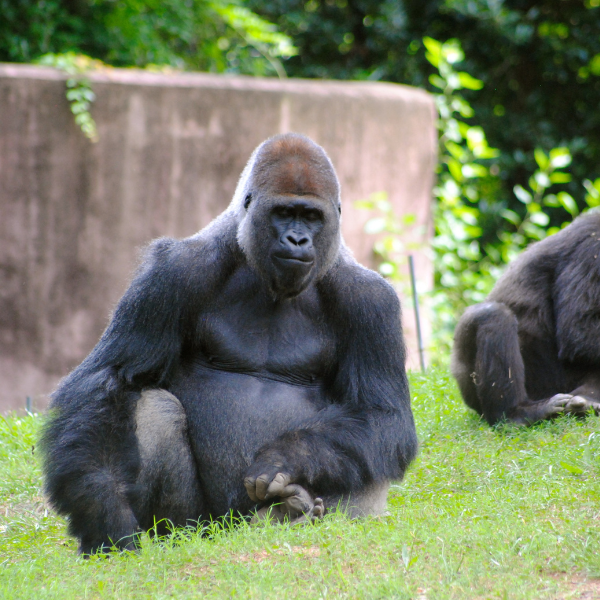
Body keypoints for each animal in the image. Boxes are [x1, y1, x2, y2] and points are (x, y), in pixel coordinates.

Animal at [41, 134, 418, 556]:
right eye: (284, 213)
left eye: (312, 217)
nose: (297, 239)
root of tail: (232, 529)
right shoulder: (172, 271)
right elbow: (114, 378)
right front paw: (103, 510)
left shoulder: (372, 302)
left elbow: (382, 416)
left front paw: (287, 456)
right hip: (204, 526)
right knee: (153, 408)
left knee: (369, 450)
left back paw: (289, 512)